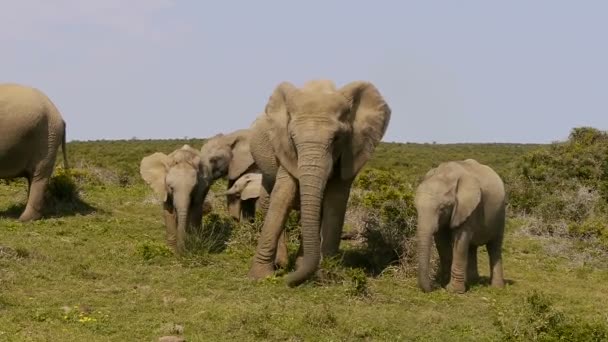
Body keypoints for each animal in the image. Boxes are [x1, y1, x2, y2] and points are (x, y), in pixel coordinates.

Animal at [248, 79, 394, 286]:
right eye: (292, 137)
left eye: (336, 138)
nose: (286, 281)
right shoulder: (285, 148)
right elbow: (283, 195)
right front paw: (260, 277)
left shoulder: (352, 150)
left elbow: (335, 201)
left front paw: (325, 276)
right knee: (268, 199)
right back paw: (282, 264)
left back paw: (299, 265)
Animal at [414, 158, 508, 294]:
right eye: (416, 208)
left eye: (442, 208)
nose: (432, 287)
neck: (445, 174)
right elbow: (441, 241)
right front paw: (444, 283)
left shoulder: (468, 207)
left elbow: (460, 240)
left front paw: (453, 290)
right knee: (472, 247)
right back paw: (473, 282)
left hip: (500, 214)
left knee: (494, 247)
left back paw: (497, 287)